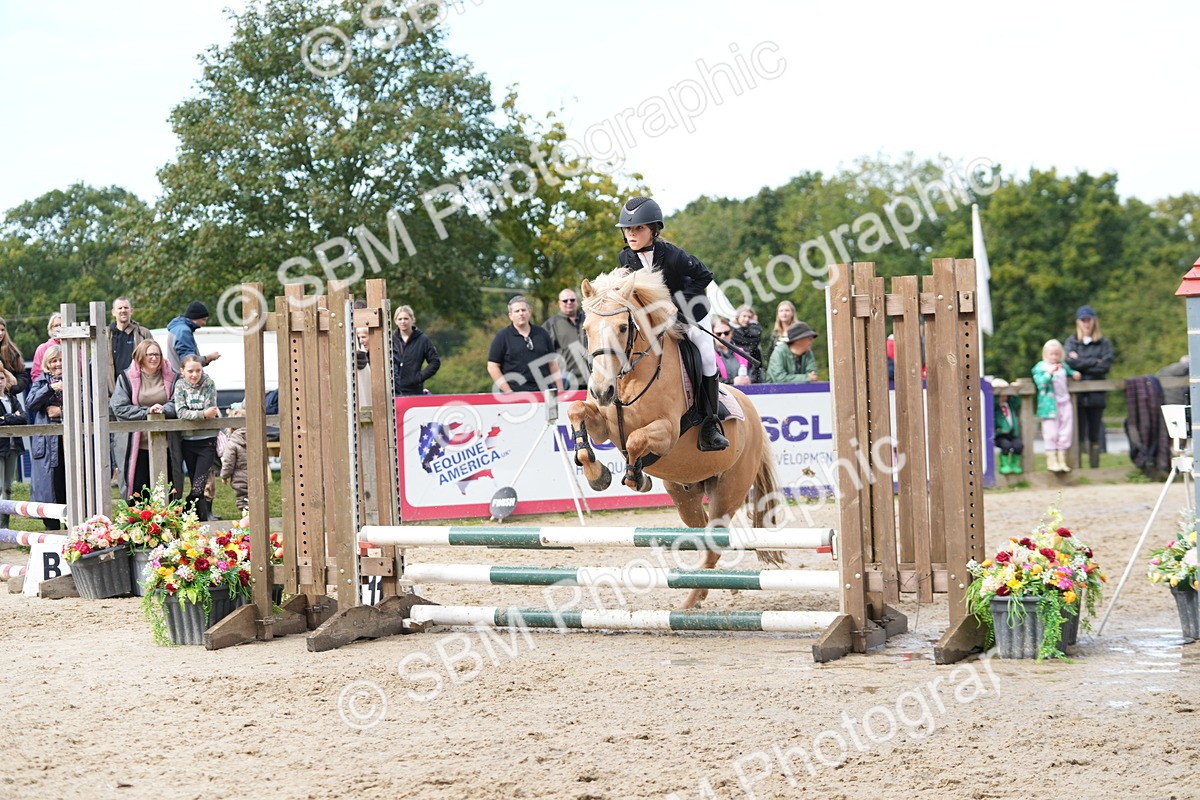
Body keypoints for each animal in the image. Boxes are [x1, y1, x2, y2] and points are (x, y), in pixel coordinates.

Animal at [566, 266, 783, 609]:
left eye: (623, 326)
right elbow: (576, 411)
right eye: (586, 329)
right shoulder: (603, 424)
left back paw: (691, 601)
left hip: (729, 490)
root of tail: (755, 417)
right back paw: (714, 587)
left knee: (713, 540)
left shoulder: (666, 433)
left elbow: (635, 441)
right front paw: (597, 474)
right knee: (705, 536)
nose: (602, 390)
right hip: (686, 494)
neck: (629, 377)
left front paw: (636, 477)